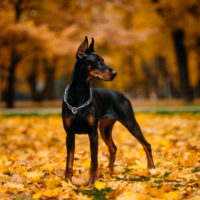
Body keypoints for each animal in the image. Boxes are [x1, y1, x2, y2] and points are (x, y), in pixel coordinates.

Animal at [62, 36, 155, 186]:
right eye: (97, 61)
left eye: (103, 60)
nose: (115, 73)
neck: (79, 95)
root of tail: (122, 95)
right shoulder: (69, 133)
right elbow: (69, 161)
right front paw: (67, 183)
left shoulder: (93, 133)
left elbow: (94, 162)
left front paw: (91, 184)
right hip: (104, 129)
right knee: (113, 148)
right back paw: (110, 171)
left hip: (130, 123)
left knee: (147, 145)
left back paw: (151, 169)